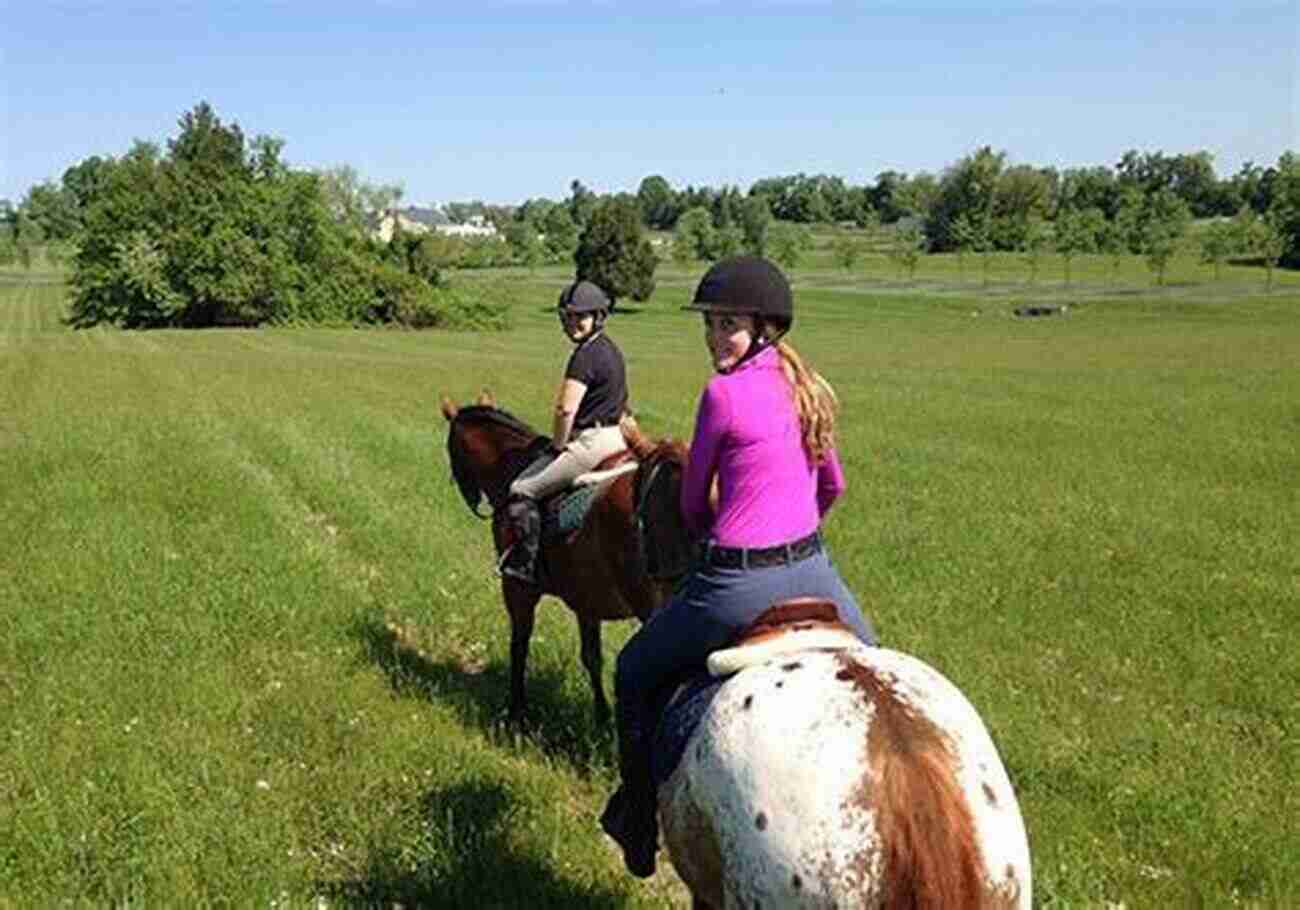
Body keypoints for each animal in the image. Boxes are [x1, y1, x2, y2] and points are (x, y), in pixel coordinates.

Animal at [441, 390, 696, 722]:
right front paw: (601, 716)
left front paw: (517, 711)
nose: (473, 501)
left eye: (450, 450)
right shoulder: (587, 597)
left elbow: (519, 643)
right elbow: (592, 657)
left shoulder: (517, 588)